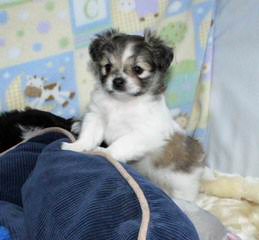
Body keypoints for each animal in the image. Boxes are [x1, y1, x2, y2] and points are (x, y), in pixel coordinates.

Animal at [62, 30, 204, 202]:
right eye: (108, 66)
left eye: (138, 69)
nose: (117, 81)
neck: (121, 102)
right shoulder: (96, 116)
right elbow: (89, 135)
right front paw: (76, 147)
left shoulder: (144, 132)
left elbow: (123, 143)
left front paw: (105, 152)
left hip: (181, 182)